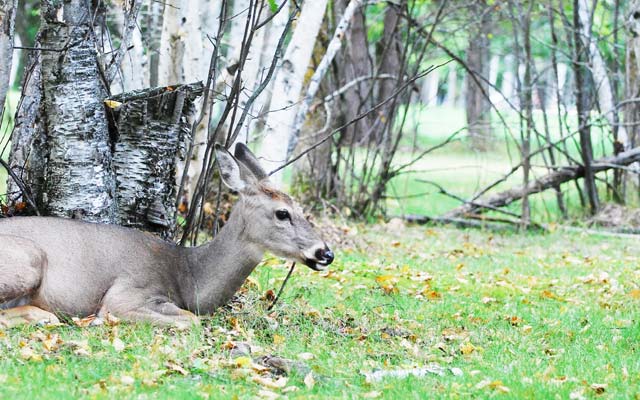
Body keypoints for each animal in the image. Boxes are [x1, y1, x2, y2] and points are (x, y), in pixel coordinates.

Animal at [0, 144, 334, 328]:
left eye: (300, 207)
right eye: (282, 213)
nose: (325, 253)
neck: (187, 275)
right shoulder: (125, 294)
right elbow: (191, 320)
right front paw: (97, 321)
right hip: (28, 259)